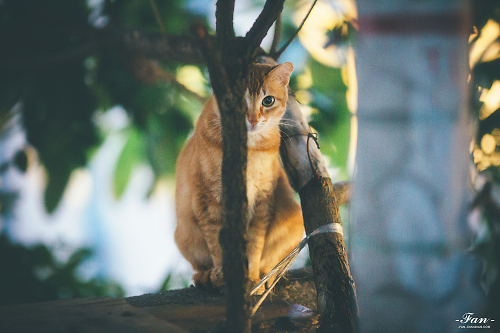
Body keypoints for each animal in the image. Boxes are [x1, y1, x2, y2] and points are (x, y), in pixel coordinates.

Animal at [174, 61, 302, 288]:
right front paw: (221, 274)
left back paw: (266, 277)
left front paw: (251, 276)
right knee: (199, 265)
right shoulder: (208, 201)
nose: (252, 119)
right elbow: (216, 243)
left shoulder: (262, 201)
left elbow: (255, 243)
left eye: (268, 100)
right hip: (184, 234)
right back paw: (205, 276)